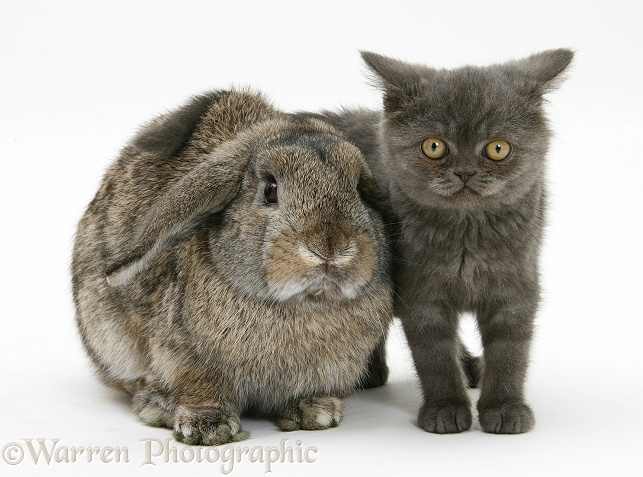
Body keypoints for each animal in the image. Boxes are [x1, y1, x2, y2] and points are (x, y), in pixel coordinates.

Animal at [70, 89, 392, 446]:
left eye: (358, 189)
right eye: (270, 190)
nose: (329, 248)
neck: (302, 305)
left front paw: (315, 411)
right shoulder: (184, 357)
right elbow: (200, 387)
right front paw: (207, 427)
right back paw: (158, 404)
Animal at [310, 50, 572, 434]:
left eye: (498, 148)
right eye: (434, 146)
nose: (464, 172)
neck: (467, 236)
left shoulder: (516, 286)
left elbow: (511, 352)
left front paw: (505, 407)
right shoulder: (421, 295)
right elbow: (434, 357)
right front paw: (446, 409)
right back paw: (370, 374)